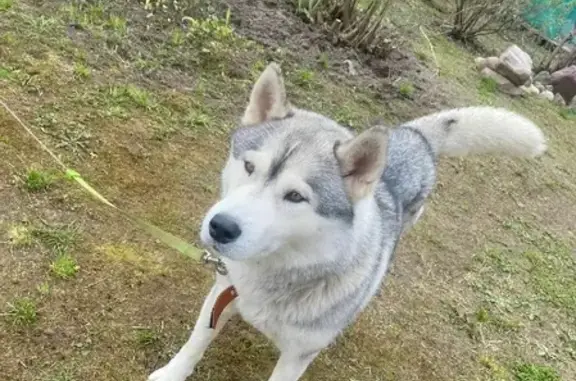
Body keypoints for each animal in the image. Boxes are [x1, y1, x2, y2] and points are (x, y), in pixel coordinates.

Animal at [147, 63, 544, 380]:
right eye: (248, 166)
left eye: (296, 196)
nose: (221, 227)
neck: (277, 273)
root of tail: (412, 136)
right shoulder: (222, 293)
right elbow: (197, 340)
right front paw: (171, 374)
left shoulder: (297, 356)